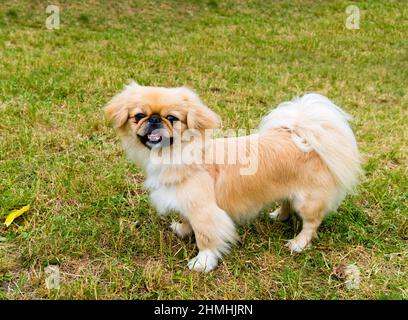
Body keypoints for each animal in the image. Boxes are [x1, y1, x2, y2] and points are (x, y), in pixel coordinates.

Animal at [104, 81, 360, 272]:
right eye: (139, 116)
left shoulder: (205, 211)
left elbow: (206, 237)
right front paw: (183, 230)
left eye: (172, 118)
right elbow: (187, 219)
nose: (155, 119)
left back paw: (298, 243)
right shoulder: (185, 201)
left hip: (307, 200)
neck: (176, 155)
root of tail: (303, 136)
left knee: (311, 224)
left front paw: (202, 263)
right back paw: (279, 216)